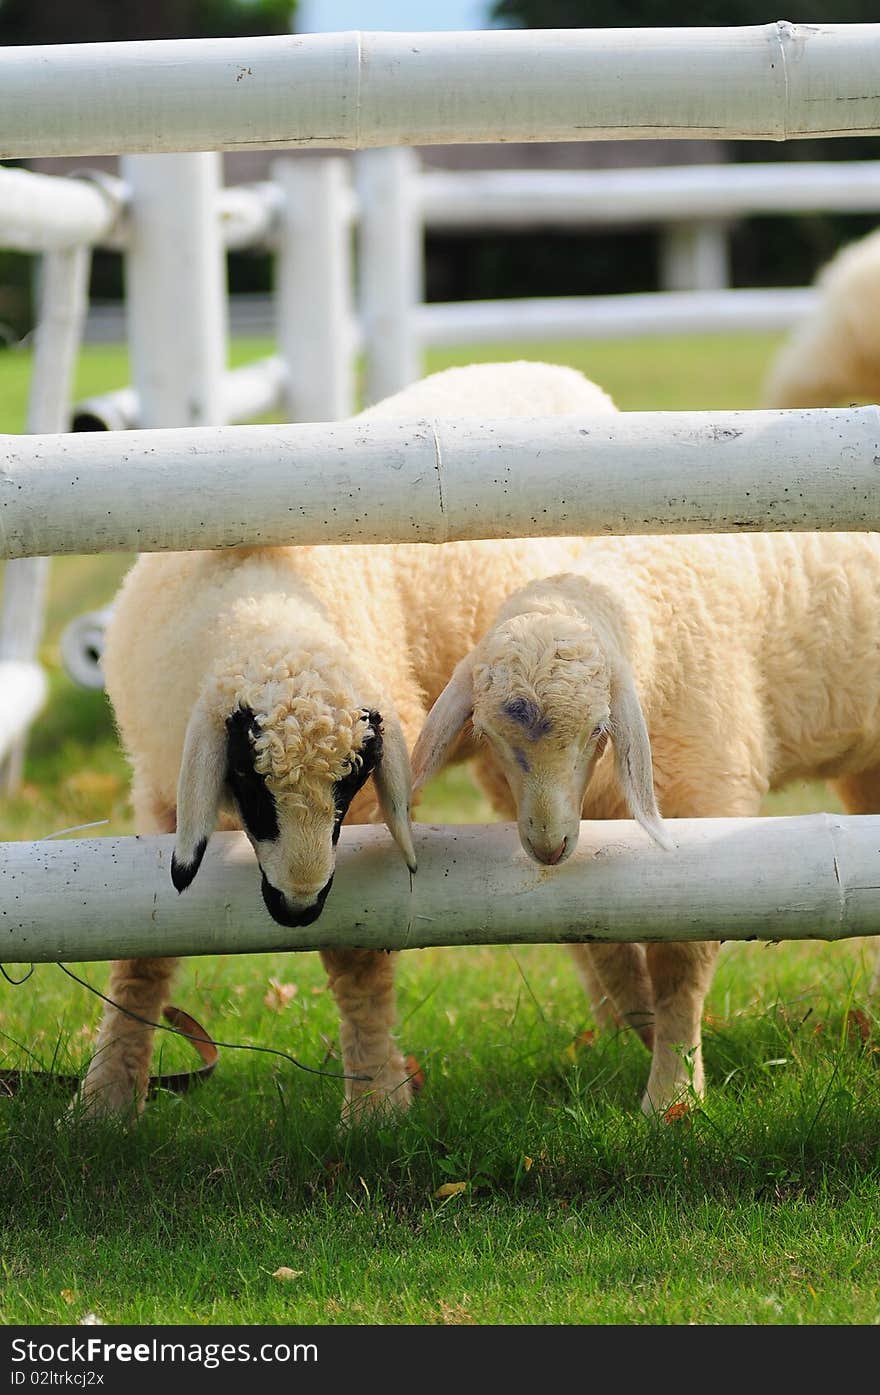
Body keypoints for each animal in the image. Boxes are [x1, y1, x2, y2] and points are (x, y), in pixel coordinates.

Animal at [75, 357, 644, 1121]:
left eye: (348, 783)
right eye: (249, 779)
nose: (297, 906)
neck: (266, 607)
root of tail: (550, 367)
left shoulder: (371, 815)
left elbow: (359, 956)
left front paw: (375, 1098)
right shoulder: (163, 788)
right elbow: (144, 946)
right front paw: (106, 1097)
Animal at [407, 527, 880, 1116]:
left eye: (598, 729)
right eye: (488, 735)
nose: (548, 845)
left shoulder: (707, 803)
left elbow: (678, 961)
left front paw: (673, 1091)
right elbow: (607, 951)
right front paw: (648, 1038)